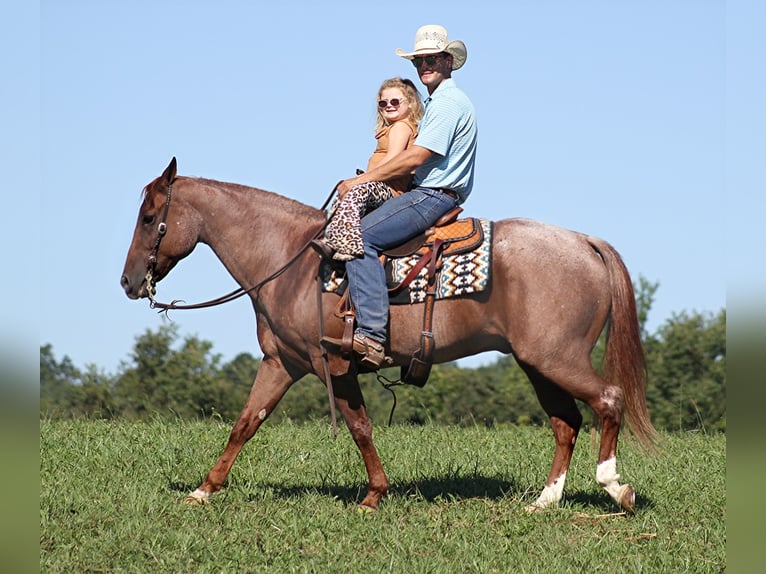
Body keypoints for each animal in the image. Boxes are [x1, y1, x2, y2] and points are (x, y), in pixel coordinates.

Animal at [121, 158, 660, 512]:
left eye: (149, 218)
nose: (128, 282)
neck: (290, 260)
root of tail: (584, 241)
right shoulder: (282, 363)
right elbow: (246, 422)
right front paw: (204, 489)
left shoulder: (333, 364)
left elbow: (360, 427)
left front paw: (373, 496)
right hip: (537, 363)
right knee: (565, 423)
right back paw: (544, 501)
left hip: (558, 359)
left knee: (608, 401)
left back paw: (616, 487)